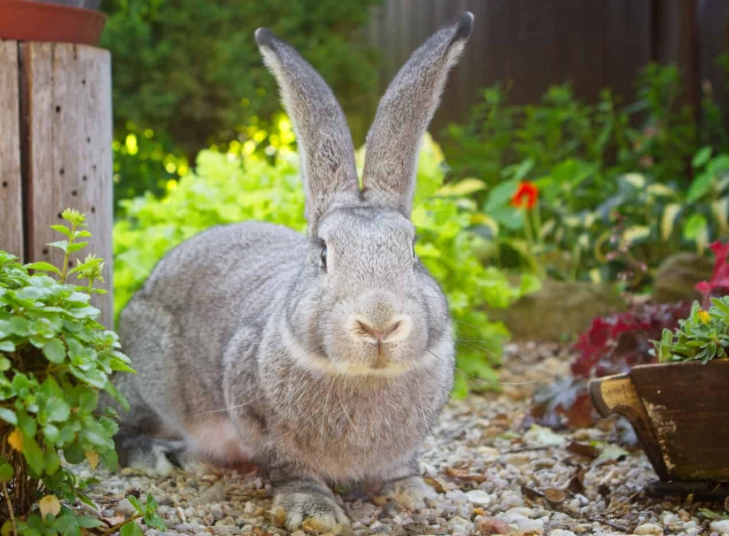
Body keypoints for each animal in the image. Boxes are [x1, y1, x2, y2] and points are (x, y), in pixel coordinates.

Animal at [109, 11, 474, 533]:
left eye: (413, 250)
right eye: (323, 255)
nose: (379, 324)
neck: (363, 377)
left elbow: (400, 466)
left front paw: (413, 494)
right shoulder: (258, 418)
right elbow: (288, 467)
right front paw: (316, 512)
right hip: (145, 379)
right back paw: (165, 456)